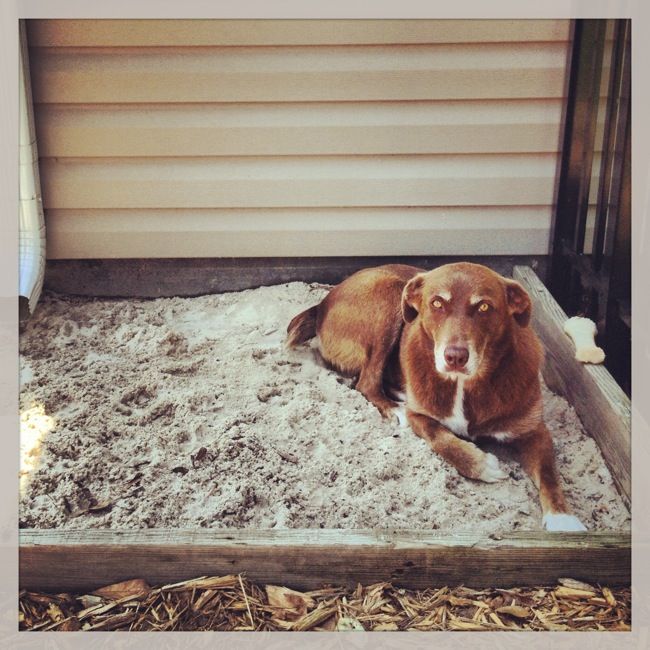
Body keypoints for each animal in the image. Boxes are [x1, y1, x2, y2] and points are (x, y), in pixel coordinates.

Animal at [286, 260, 584, 528]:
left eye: (484, 306)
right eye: (437, 304)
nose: (455, 357)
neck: (464, 384)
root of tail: (322, 304)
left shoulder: (535, 431)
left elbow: (549, 475)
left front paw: (564, 519)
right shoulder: (420, 416)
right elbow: (439, 436)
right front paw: (480, 464)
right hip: (389, 297)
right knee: (366, 383)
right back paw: (394, 407)